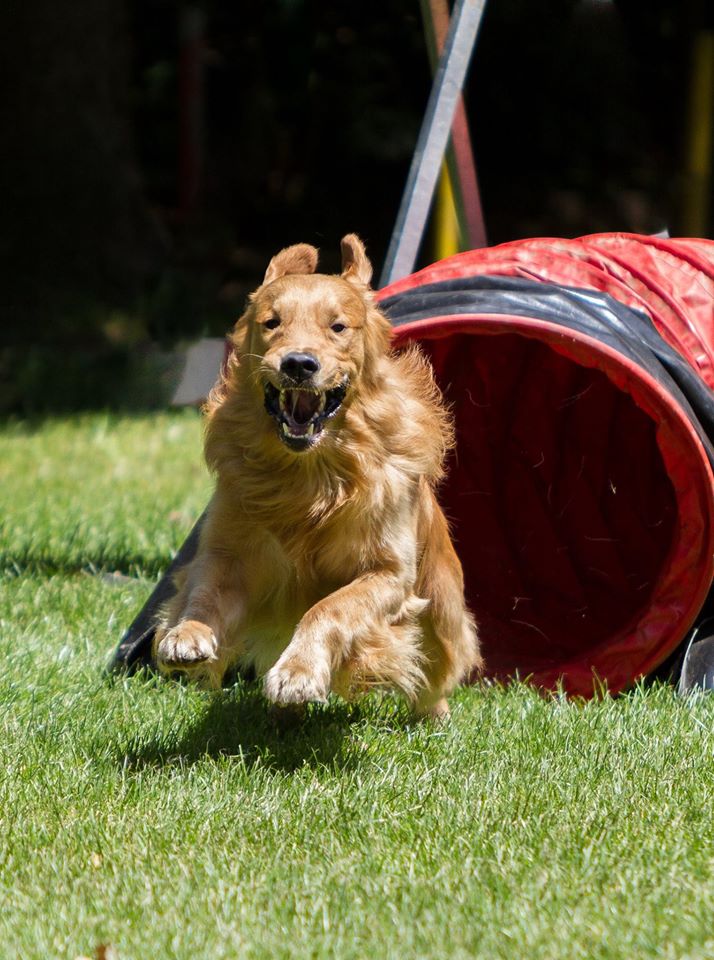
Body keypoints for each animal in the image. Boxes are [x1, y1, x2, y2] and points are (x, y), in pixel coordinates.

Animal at [153, 232, 482, 716]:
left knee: (438, 670)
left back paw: (433, 714)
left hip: (440, 606)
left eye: (338, 327)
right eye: (272, 322)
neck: (310, 475)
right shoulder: (229, 551)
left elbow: (329, 608)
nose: (298, 364)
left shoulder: (388, 573)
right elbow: (204, 590)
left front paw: (298, 673)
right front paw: (187, 634)